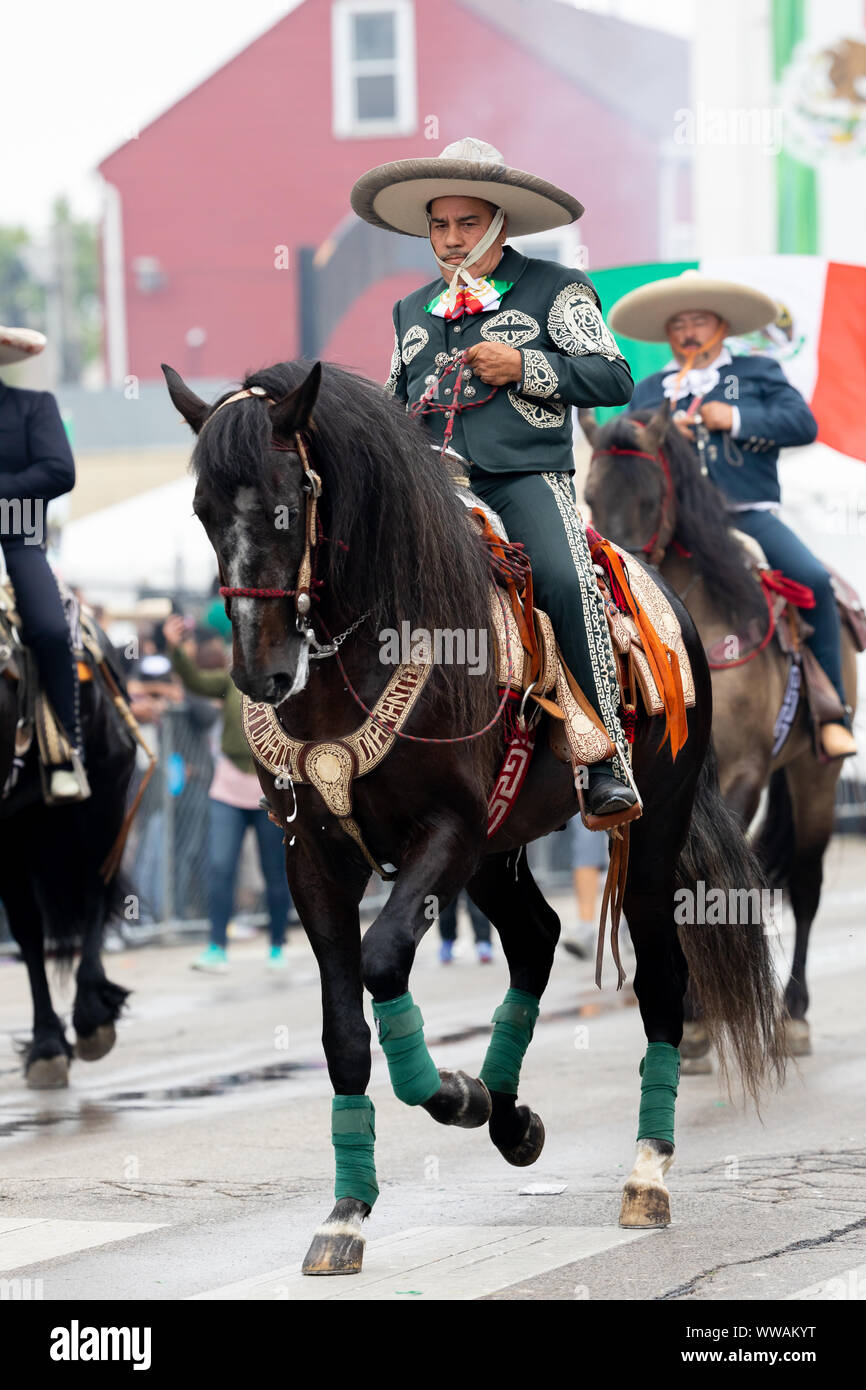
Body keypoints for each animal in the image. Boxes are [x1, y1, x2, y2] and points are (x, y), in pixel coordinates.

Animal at [162, 361, 783, 1278]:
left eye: (290, 497)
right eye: (204, 507)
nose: (257, 669)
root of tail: (667, 594)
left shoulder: (446, 832)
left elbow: (384, 960)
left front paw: (452, 1094)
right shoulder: (313, 857)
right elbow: (342, 1031)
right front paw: (347, 1213)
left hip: (646, 830)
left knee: (662, 977)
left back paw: (644, 1172)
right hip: (501, 846)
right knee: (534, 937)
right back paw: (513, 1116)